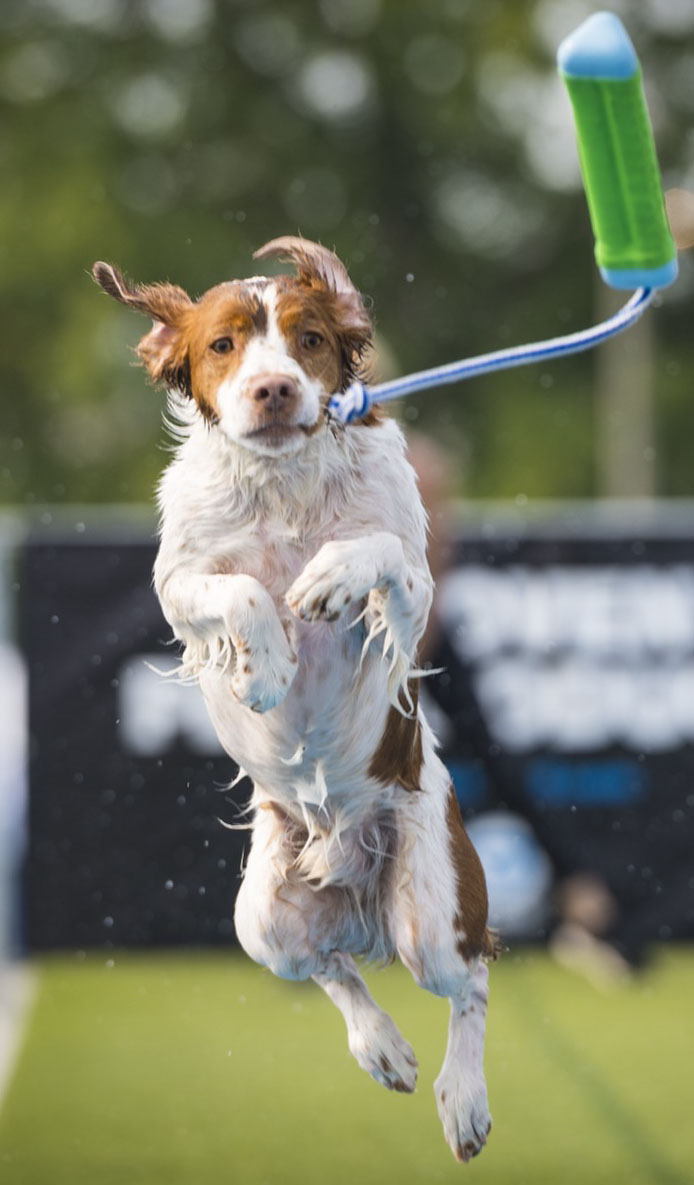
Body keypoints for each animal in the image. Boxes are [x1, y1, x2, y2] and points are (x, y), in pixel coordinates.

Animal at [91, 235, 495, 1161]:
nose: (273, 389)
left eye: (309, 339)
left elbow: (377, 551)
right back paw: (381, 1047)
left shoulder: (415, 591)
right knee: (329, 966)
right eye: (222, 345)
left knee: (470, 977)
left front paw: (329, 578)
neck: (281, 484)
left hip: (430, 905)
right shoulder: (178, 584)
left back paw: (463, 1100)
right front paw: (267, 666)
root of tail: (346, 866)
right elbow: (238, 590)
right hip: (262, 919)